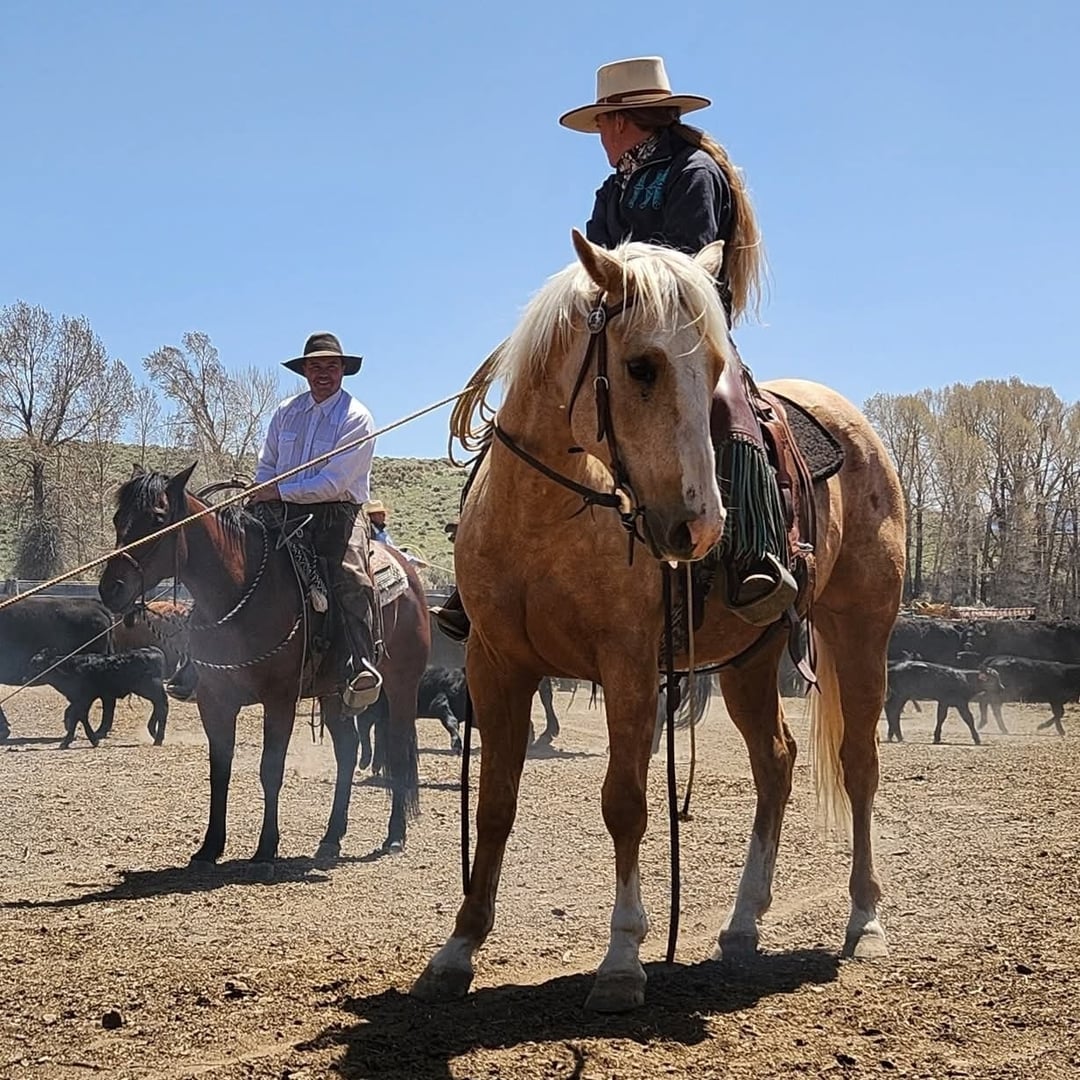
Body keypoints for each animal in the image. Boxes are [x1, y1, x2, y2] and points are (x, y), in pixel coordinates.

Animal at [98, 466, 430, 865]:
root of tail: (409, 576)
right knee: (348, 751)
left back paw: (394, 836)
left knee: (397, 748)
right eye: (118, 518)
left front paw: (266, 847)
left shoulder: (279, 699)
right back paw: (331, 838)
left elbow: (270, 770)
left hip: (402, 685)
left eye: (158, 518)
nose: (110, 589)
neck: (240, 592)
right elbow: (220, 770)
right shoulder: (215, 701)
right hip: (335, 693)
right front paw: (209, 847)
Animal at [412, 232, 905, 1012]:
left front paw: (621, 960)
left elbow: (625, 803)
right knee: (777, 760)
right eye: (640, 366)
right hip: (749, 661)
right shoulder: (496, 664)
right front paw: (458, 948)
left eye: (715, 371)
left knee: (858, 764)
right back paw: (742, 923)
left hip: (861, 631)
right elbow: (495, 804)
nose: (699, 527)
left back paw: (865, 919)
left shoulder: (630, 665)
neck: (547, 517)